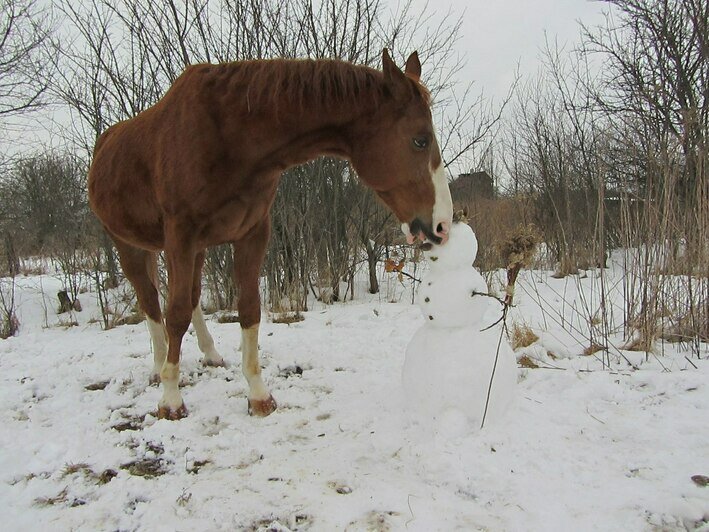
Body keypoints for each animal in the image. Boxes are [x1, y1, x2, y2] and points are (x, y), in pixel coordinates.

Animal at [90, 48, 454, 420]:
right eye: (420, 140)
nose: (442, 225)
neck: (228, 136)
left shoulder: (251, 233)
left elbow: (248, 309)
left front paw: (258, 395)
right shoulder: (181, 234)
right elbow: (173, 314)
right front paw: (171, 400)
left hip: (197, 249)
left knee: (190, 297)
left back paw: (210, 354)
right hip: (130, 246)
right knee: (150, 301)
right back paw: (158, 366)